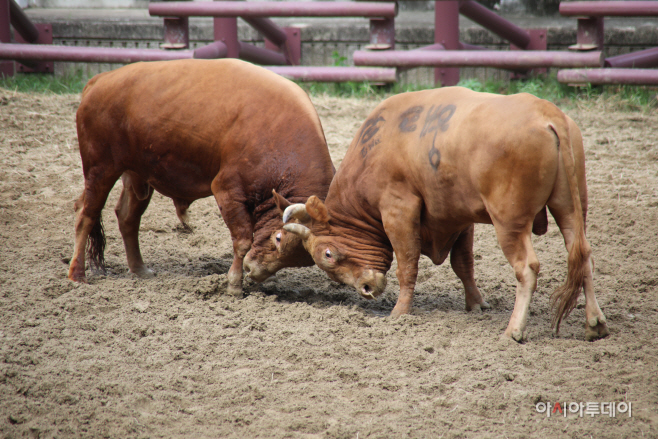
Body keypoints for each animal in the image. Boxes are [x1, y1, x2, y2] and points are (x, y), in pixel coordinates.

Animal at [69, 56, 334, 294]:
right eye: (278, 238)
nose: (255, 271)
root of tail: (99, 80)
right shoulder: (227, 191)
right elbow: (242, 241)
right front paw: (234, 284)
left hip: (137, 176)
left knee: (127, 218)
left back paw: (139, 269)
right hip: (100, 169)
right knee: (86, 215)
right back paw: (77, 275)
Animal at [284, 85, 608, 340]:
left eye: (327, 254)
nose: (366, 289)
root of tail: (548, 114)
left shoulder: (399, 210)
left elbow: (407, 265)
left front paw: (400, 312)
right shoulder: (460, 219)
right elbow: (463, 264)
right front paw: (475, 304)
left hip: (509, 222)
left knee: (526, 267)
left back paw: (514, 330)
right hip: (571, 209)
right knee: (583, 257)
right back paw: (595, 324)